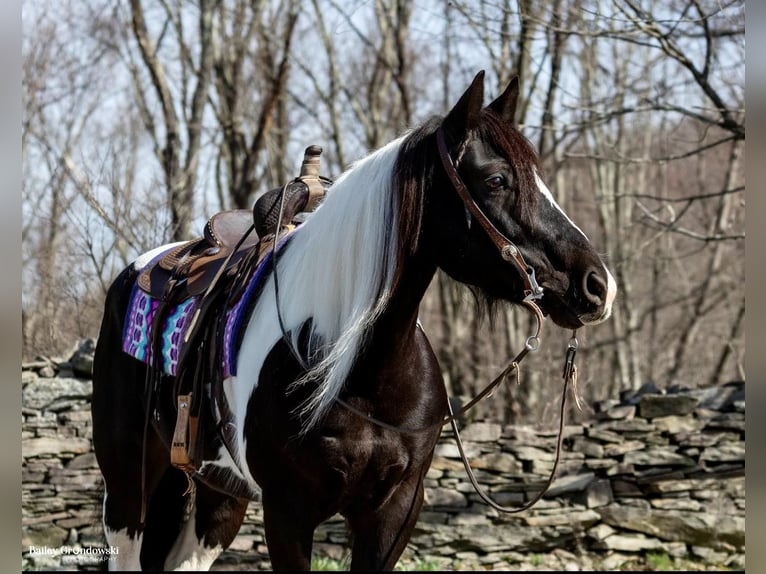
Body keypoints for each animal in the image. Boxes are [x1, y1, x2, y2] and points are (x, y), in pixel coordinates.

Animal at [91, 72, 616, 572]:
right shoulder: (287, 513)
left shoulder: (394, 512)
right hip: (127, 486)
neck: (358, 372)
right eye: (496, 180)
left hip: (221, 492)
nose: (598, 285)